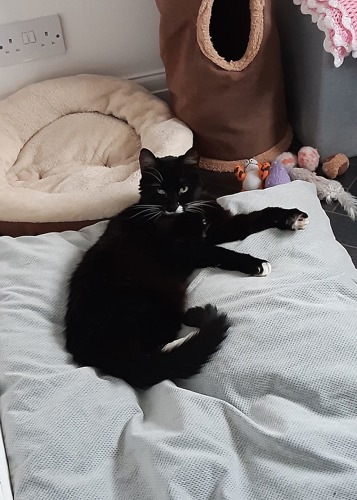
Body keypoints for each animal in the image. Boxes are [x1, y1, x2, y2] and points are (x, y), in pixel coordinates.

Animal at [64, 148, 308, 390]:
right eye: (160, 190)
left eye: (183, 188)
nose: (172, 207)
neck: (191, 213)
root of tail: (91, 351)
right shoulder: (183, 248)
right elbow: (219, 253)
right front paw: (257, 264)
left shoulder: (222, 227)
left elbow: (256, 216)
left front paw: (292, 217)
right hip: (161, 295)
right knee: (153, 356)